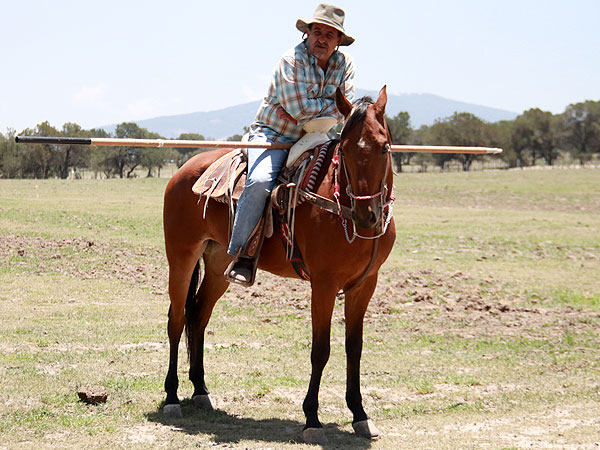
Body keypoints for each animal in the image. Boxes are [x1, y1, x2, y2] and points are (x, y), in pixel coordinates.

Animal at [164, 85, 396, 442]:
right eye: (343, 149)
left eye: (383, 147)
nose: (366, 215)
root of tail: (184, 170)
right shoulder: (324, 283)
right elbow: (321, 349)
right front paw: (312, 418)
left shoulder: (365, 285)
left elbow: (353, 347)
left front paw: (360, 414)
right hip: (181, 256)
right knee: (176, 319)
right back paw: (172, 397)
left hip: (219, 264)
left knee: (198, 316)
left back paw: (201, 391)